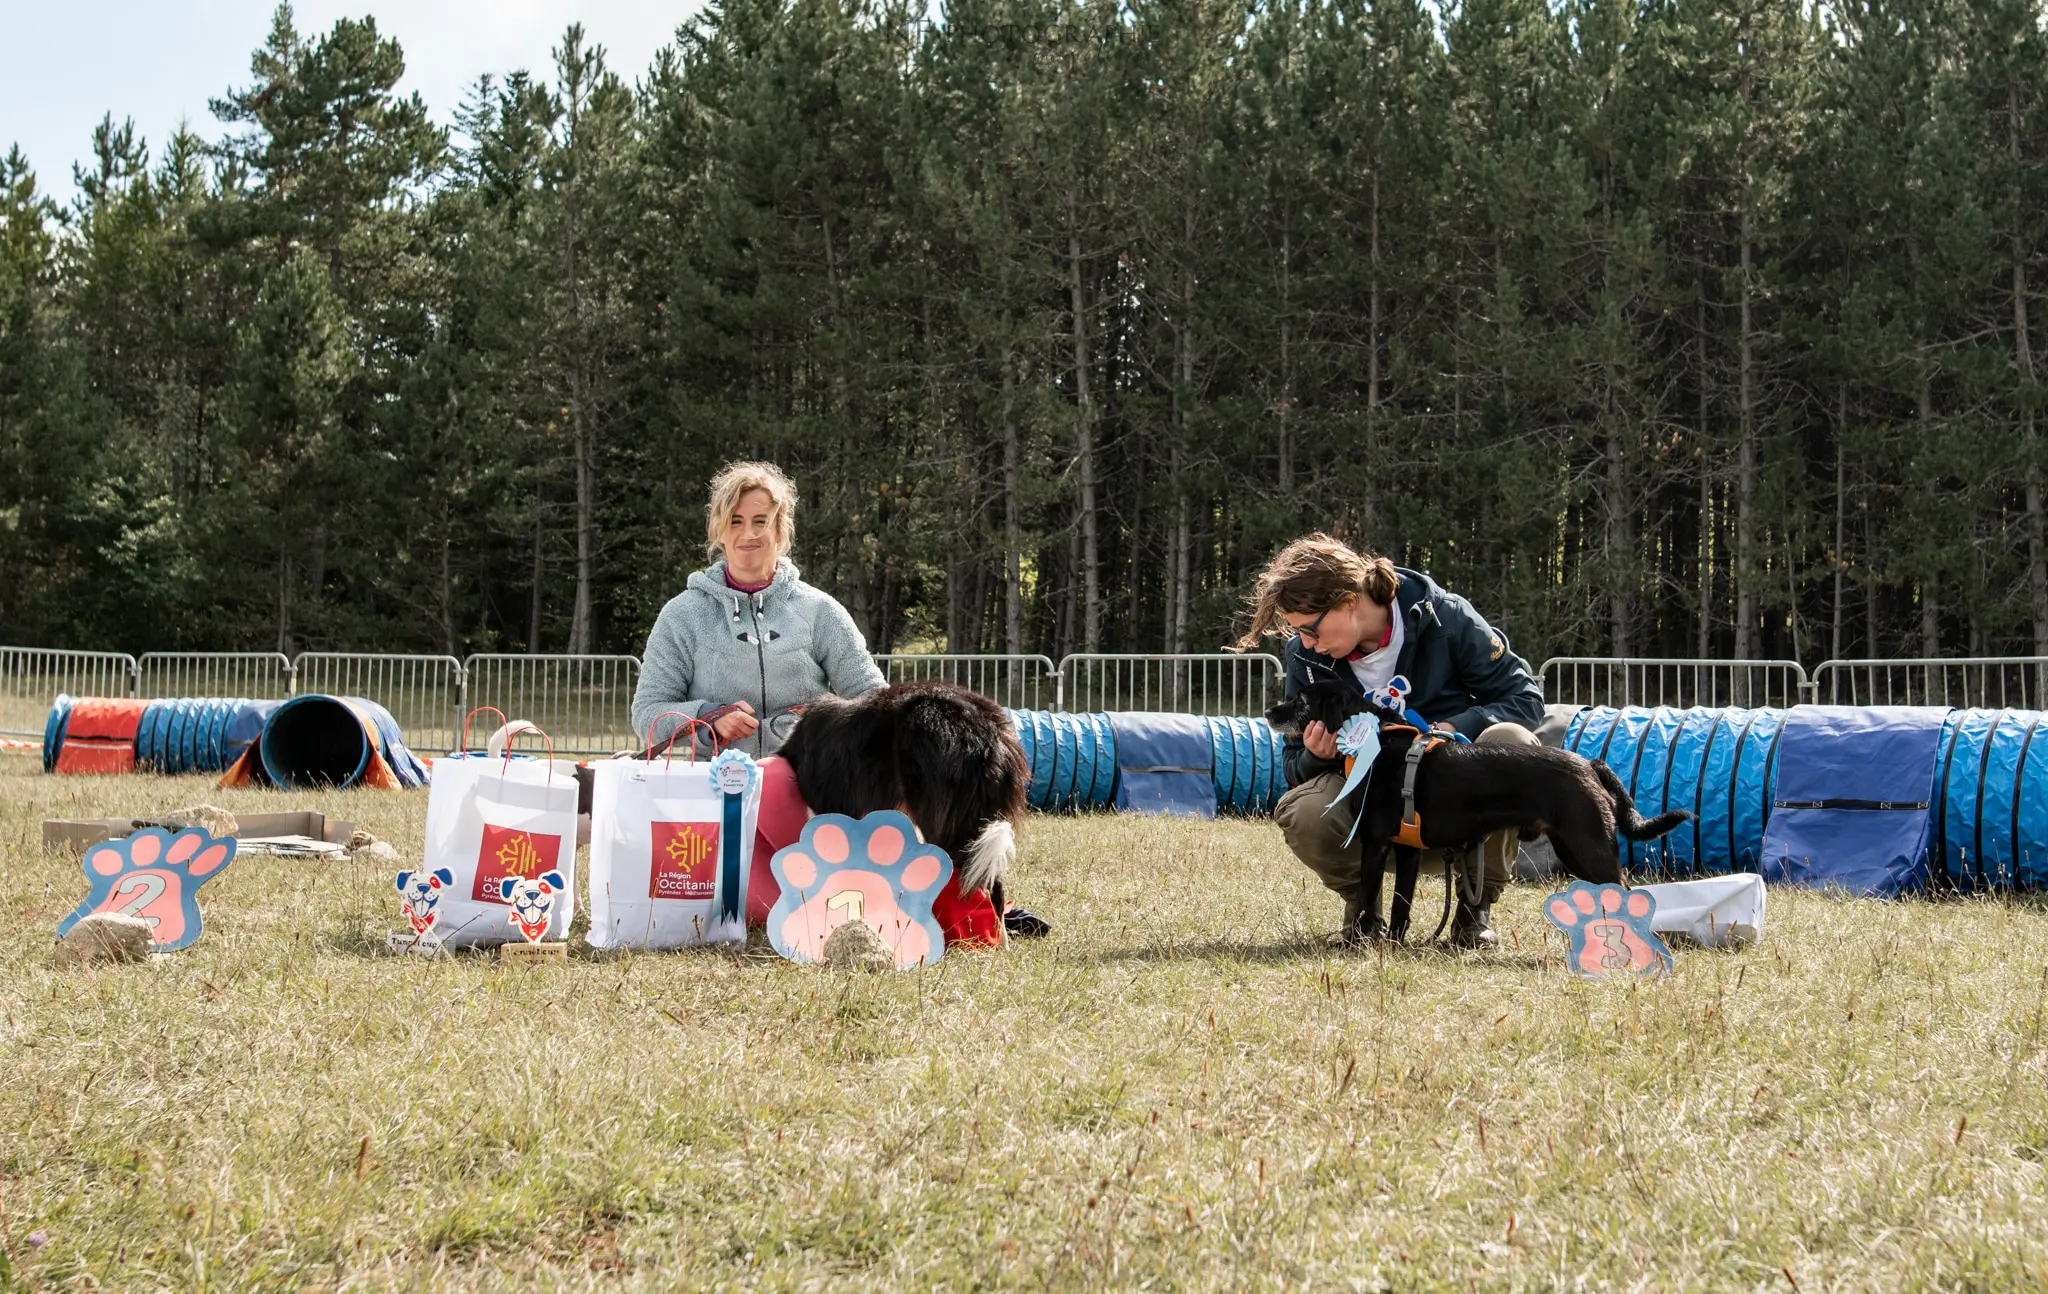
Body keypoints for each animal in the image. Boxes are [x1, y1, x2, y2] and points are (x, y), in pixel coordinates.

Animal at [1269, 683, 1687, 945]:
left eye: (1302, 700)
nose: (1270, 710)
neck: (1375, 739)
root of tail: (1589, 763)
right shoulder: (1406, 849)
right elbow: (1400, 907)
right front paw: (1392, 945)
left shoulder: (1375, 842)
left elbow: (1368, 901)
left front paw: (1359, 942)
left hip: (1588, 848)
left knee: (1629, 894)